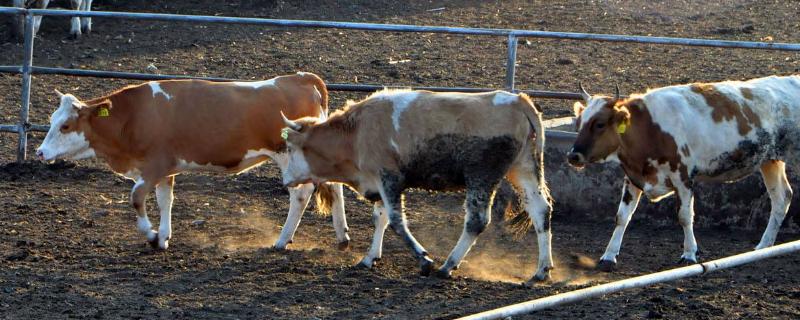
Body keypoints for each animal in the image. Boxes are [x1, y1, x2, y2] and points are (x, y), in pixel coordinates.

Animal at [33, 73, 354, 252]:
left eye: (65, 126)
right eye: (51, 119)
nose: (40, 152)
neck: (135, 116)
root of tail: (303, 78)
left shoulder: (154, 166)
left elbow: (136, 198)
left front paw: (152, 235)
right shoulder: (165, 170)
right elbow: (165, 200)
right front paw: (163, 237)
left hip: (289, 155)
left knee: (301, 194)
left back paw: (281, 241)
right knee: (335, 187)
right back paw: (342, 236)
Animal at [278, 88, 552, 282]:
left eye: (290, 148)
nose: (285, 180)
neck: (356, 133)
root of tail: (519, 101)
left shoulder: (389, 178)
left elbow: (397, 222)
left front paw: (424, 260)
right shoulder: (379, 183)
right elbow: (380, 218)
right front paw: (369, 258)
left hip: (482, 176)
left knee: (477, 221)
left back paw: (447, 266)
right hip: (523, 168)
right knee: (541, 211)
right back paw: (541, 270)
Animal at [564, 76, 800, 272]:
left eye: (600, 124)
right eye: (579, 123)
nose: (573, 155)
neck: (649, 128)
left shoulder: (683, 177)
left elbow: (685, 216)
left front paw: (689, 254)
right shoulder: (632, 178)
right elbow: (622, 217)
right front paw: (608, 257)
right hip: (770, 161)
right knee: (781, 199)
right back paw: (764, 246)